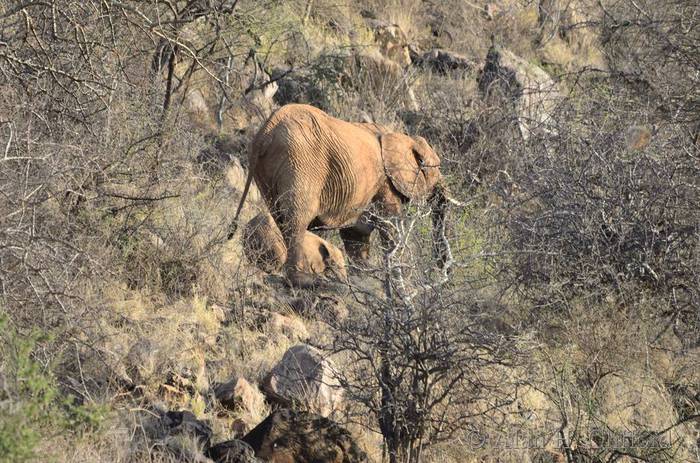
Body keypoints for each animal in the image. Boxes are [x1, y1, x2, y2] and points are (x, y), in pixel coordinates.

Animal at [231, 103, 452, 287]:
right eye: (433, 169)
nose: (441, 273)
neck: (401, 136)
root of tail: (264, 133)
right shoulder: (385, 183)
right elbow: (390, 226)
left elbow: (356, 235)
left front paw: (364, 281)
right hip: (299, 164)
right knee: (297, 221)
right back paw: (304, 282)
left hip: (267, 173)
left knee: (282, 219)